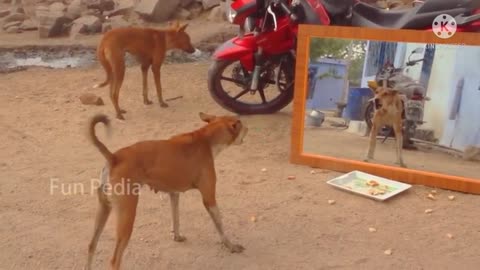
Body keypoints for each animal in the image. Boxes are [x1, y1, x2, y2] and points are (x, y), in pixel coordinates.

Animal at [85, 112, 248, 270]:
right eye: (240, 122)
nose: (248, 128)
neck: (206, 139)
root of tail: (114, 157)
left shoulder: (174, 194)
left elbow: (176, 219)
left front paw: (177, 237)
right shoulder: (209, 198)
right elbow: (220, 226)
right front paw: (231, 246)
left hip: (103, 209)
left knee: (91, 245)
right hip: (127, 215)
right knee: (114, 261)